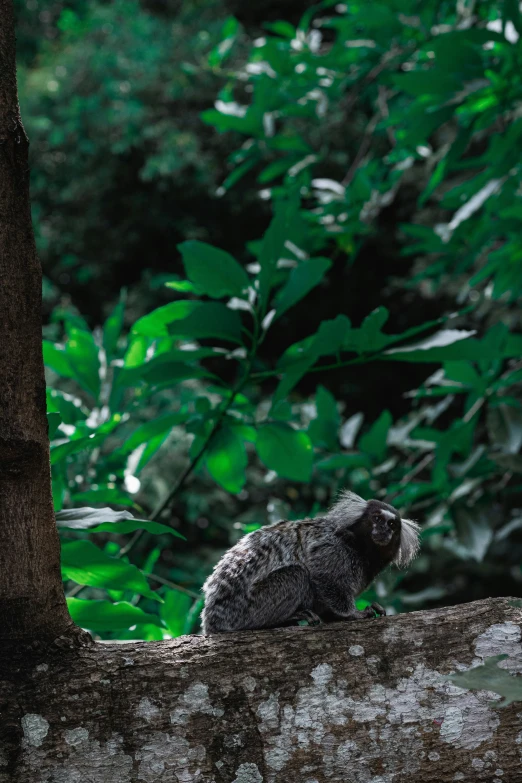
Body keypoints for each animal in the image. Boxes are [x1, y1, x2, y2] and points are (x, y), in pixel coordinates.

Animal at [200, 490, 418, 636]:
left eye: (392, 524)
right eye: (377, 519)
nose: (383, 530)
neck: (360, 546)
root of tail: (212, 619)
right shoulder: (333, 547)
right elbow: (323, 576)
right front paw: (354, 614)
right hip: (247, 609)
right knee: (296, 575)